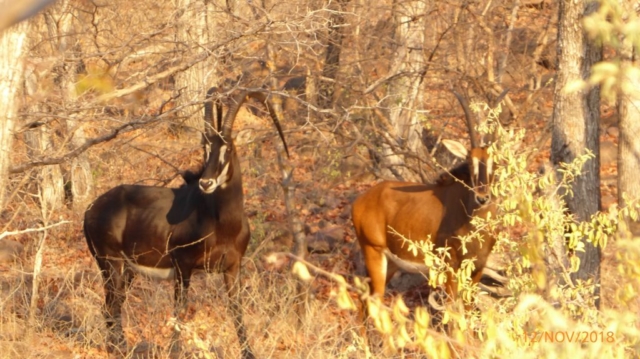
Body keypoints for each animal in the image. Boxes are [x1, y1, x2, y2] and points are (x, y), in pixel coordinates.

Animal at [82, 88, 288, 359]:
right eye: (206, 148)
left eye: (228, 148)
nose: (206, 182)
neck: (223, 224)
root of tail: (90, 209)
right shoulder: (183, 266)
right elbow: (179, 311)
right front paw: (174, 352)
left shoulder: (233, 267)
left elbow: (236, 310)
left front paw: (248, 353)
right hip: (110, 263)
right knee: (113, 306)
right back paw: (120, 350)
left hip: (127, 270)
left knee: (110, 306)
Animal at [350, 91, 504, 336]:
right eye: (470, 162)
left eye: (494, 163)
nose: (483, 197)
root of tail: (362, 200)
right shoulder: (450, 267)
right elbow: (454, 314)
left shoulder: (477, 268)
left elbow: (469, 311)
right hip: (373, 252)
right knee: (374, 302)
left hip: (392, 262)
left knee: (365, 301)